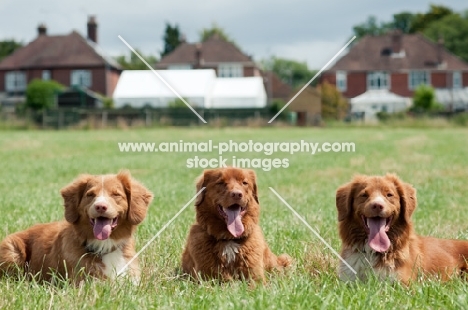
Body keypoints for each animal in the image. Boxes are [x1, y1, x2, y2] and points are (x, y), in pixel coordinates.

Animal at [336, 174, 468, 284]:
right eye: (364, 195)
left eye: (389, 195)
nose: (377, 205)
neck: (372, 252)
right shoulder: (348, 280)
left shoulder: (402, 284)